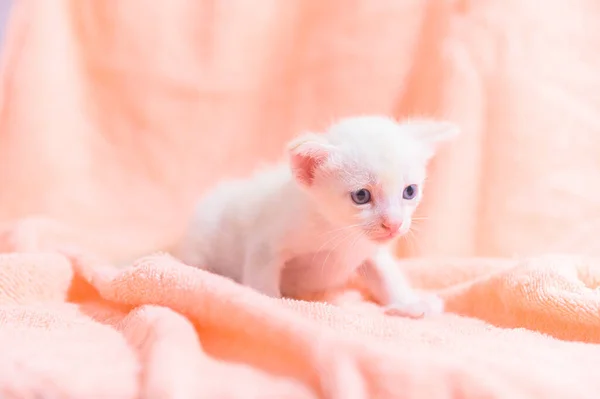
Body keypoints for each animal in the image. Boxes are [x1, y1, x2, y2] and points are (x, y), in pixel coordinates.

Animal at [173, 115, 460, 318]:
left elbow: (386, 273)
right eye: (361, 196)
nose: (394, 224)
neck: (340, 233)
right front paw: (267, 304)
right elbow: (262, 277)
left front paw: (407, 302)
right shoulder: (266, 243)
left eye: (409, 191)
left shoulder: (371, 251)